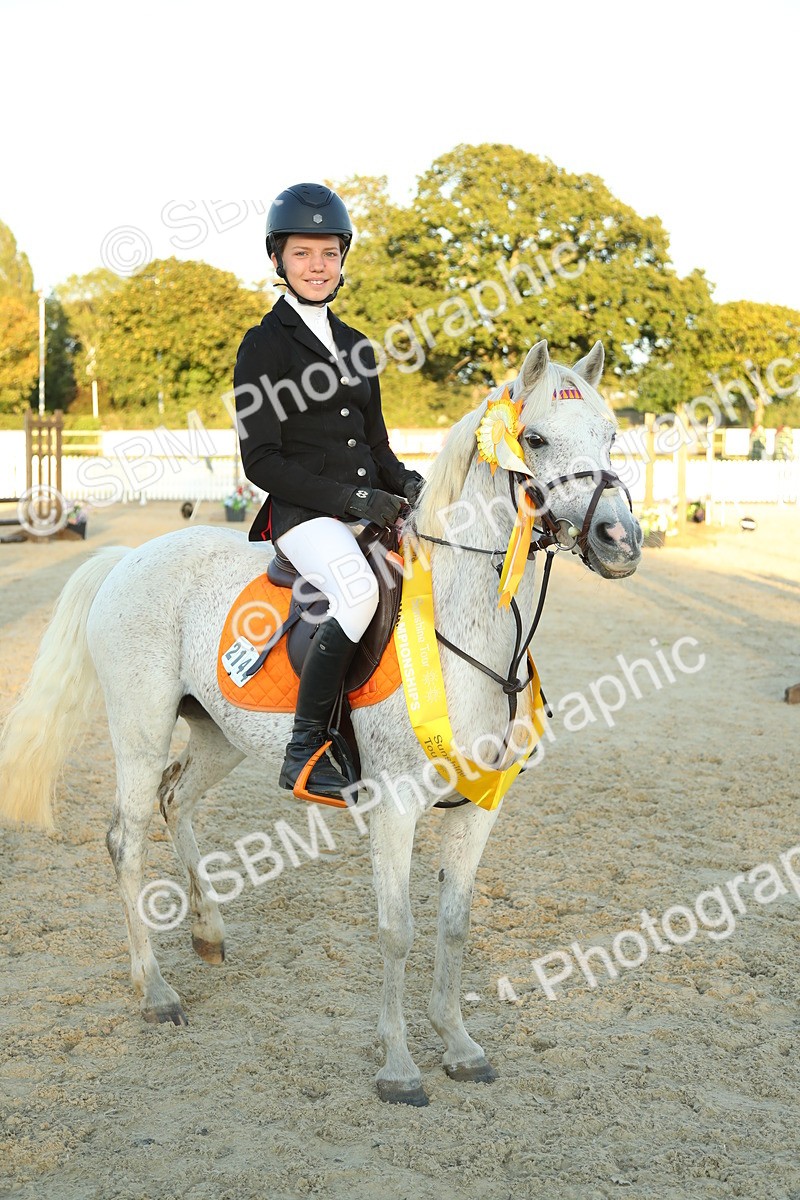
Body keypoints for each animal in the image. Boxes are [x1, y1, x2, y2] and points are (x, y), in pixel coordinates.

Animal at [0, 339, 642, 1107]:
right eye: (536, 439)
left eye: (611, 436)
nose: (620, 538)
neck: (465, 625)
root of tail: (130, 556)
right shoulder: (394, 807)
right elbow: (397, 930)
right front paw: (398, 1067)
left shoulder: (478, 806)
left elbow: (455, 923)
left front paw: (458, 1045)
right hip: (140, 728)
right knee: (125, 839)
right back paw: (154, 992)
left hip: (219, 733)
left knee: (174, 798)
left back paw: (208, 933)